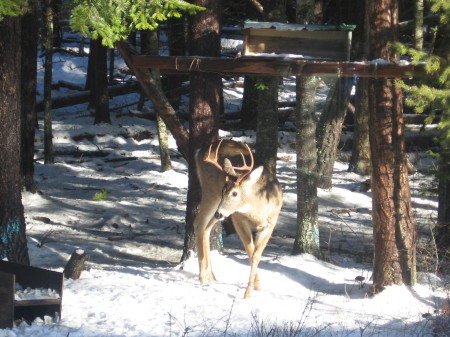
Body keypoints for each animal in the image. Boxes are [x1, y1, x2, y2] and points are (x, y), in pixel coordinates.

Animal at [192, 138, 282, 298]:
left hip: (219, 207)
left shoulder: (271, 223)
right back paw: (202, 278)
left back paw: (212, 275)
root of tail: (200, 151)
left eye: (234, 193)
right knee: (199, 223)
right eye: (224, 191)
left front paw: (258, 288)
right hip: (211, 193)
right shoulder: (238, 220)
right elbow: (250, 252)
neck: (258, 213)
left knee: (207, 228)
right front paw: (247, 294)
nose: (219, 214)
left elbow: (256, 255)